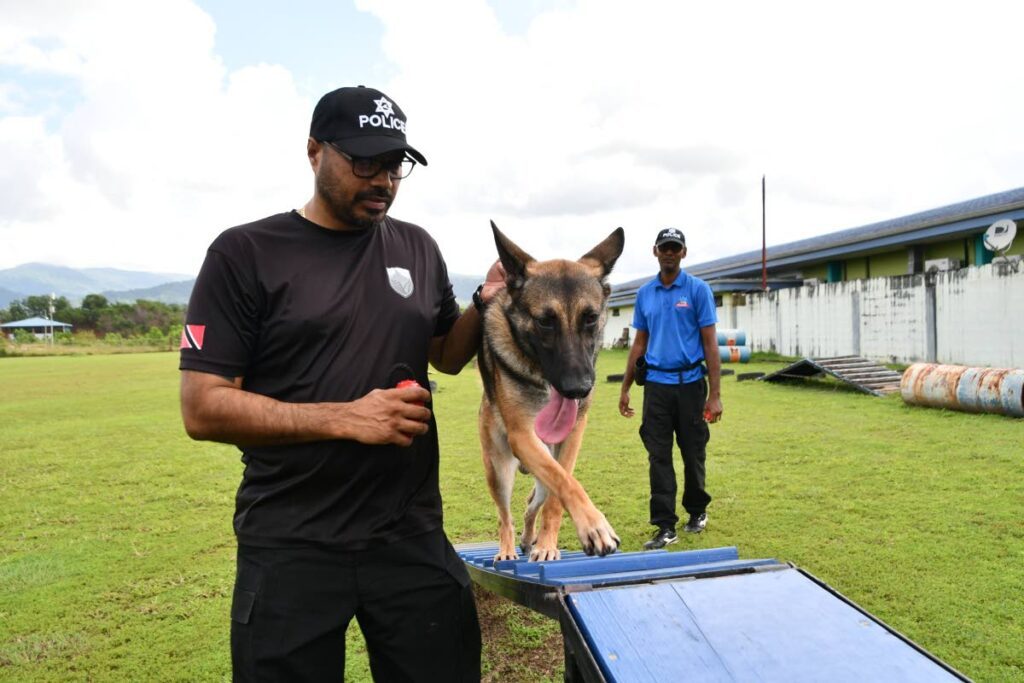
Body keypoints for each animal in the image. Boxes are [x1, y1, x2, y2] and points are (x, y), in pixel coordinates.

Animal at [477, 222, 622, 565]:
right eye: (545, 321)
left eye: (590, 318)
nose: (578, 388)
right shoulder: (522, 435)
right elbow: (564, 482)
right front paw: (596, 526)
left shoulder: (572, 436)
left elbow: (561, 487)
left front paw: (547, 545)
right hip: (499, 468)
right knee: (505, 515)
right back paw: (507, 549)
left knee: (534, 500)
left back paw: (530, 539)